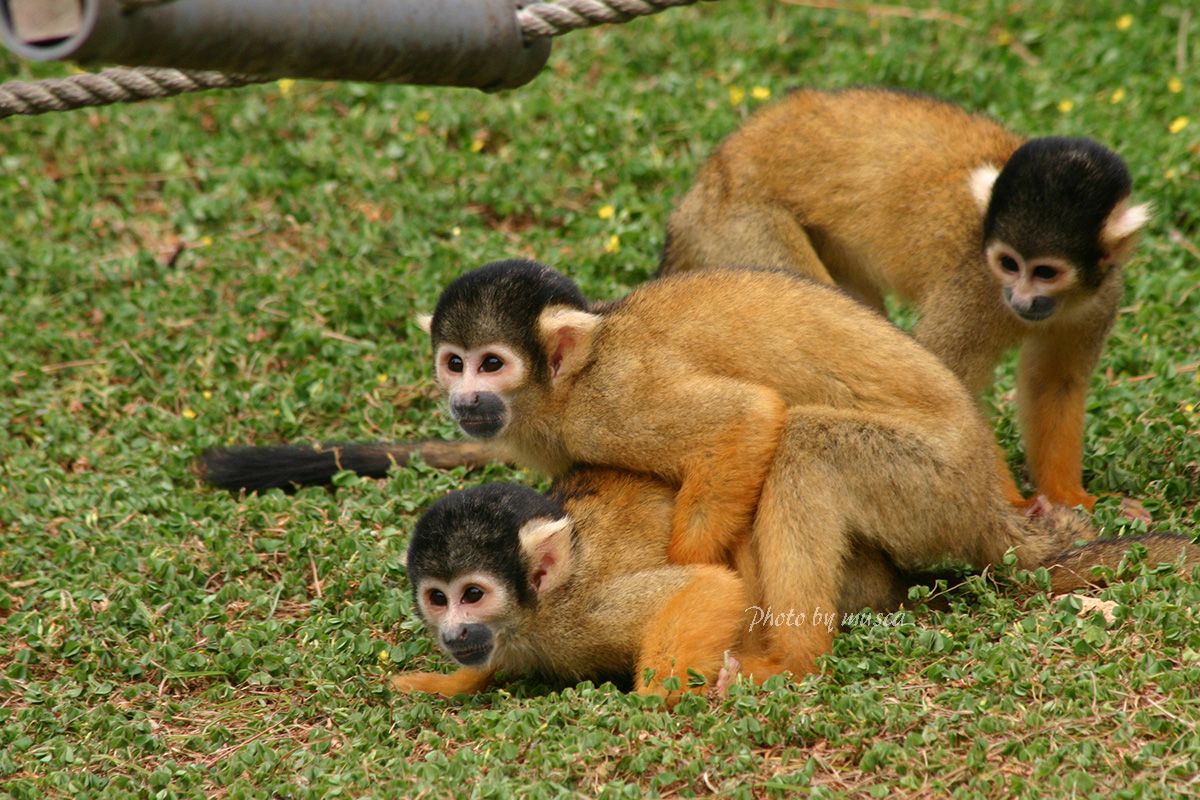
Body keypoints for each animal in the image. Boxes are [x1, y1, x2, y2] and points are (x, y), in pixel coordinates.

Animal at [657, 87, 1152, 513]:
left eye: (1045, 272)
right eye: (1009, 264)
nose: (1021, 298)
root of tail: (712, 173)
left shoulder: (1101, 297)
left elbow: (1055, 383)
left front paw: (1071, 497)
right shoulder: (974, 288)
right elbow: (949, 386)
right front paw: (1016, 505)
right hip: (738, 226)